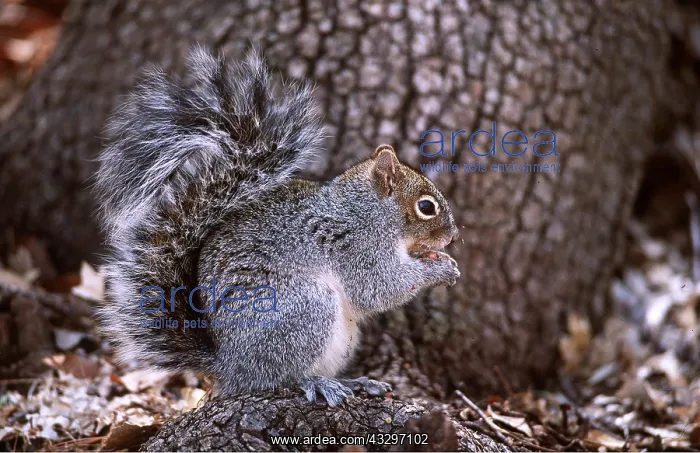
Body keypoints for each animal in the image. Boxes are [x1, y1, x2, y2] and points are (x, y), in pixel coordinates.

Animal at [94, 46, 461, 406]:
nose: (453, 237)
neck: (366, 211)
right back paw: (316, 383)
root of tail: (228, 366)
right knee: (277, 378)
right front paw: (440, 269)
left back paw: (354, 382)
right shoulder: (355, 246)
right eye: (426, 207)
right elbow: (379, 287)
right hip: (305, 309)